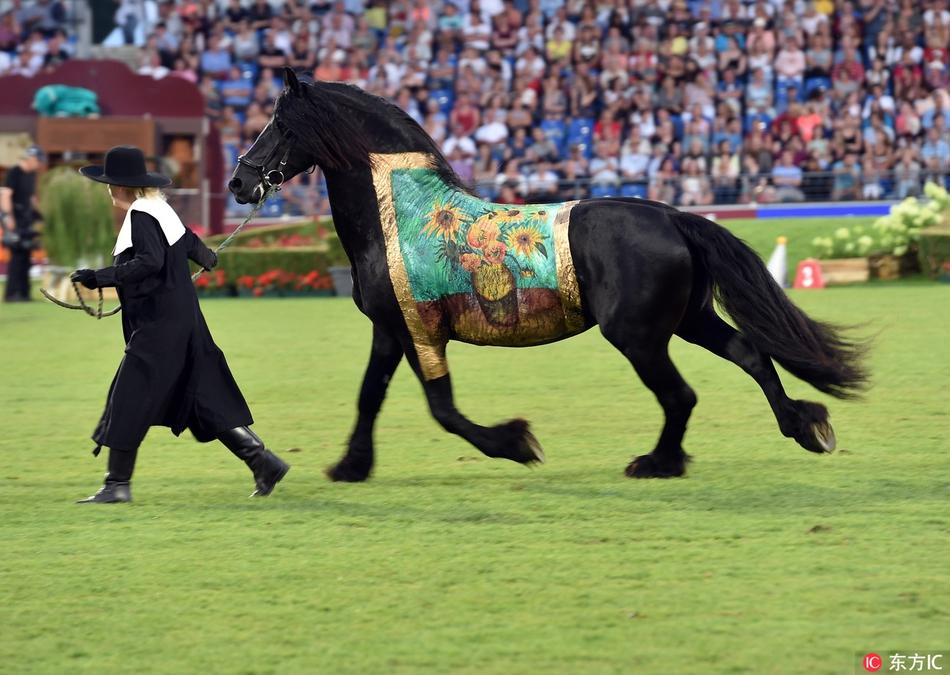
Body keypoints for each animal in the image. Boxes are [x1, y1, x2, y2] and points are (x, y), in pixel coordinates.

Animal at [231, 67, 872, 480]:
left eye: (280, 124)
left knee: (681, 394)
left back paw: (657, 463)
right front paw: (351, 465)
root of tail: (671, 215)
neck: (401, 214)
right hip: (688, 321)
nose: (240, 181)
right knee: (750, 355)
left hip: (638, 336)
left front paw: (515, 443)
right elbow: (370, 396)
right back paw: (803, 425)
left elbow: (442, 410)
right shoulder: (391, 330)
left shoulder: (420, 332)